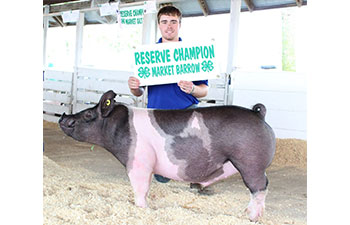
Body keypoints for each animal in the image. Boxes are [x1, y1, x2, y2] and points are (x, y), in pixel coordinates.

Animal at [58, 89, 274, 221]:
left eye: (88, 115)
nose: (63, 117)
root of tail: (258, 114)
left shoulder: (139, 161)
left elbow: (140, 188)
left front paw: (141, 209)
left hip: (250, 162)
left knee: (260, 187)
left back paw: (251, 217)